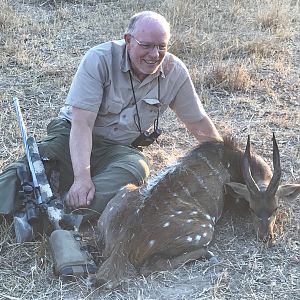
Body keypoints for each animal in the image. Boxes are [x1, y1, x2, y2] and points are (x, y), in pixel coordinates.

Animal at [89, 134, 300, 288]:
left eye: (275, 208)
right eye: (251, 208)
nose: (266, 237)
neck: (227, 159)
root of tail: (122, 246)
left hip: (125, 191)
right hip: (205, 229)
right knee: (150, 267)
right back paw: (209, 255)